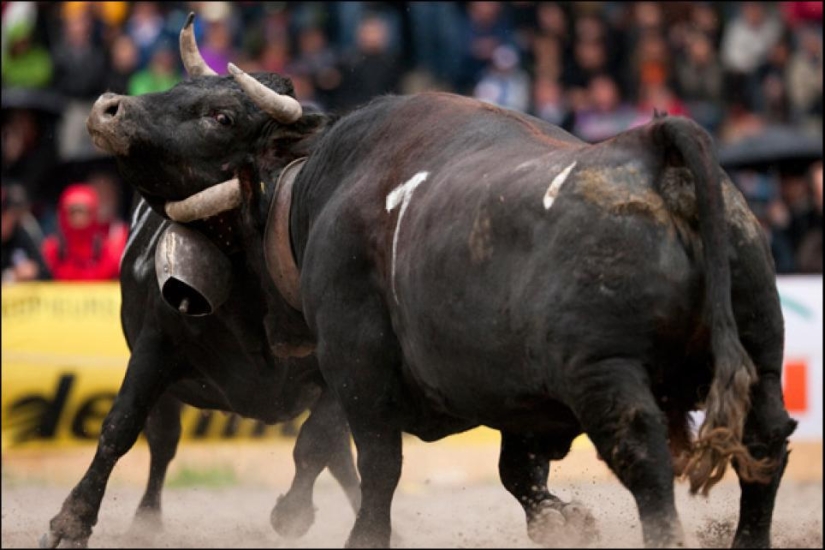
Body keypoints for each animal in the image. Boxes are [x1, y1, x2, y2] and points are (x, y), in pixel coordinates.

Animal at [39, 15, 359, 549]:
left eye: (222, 118)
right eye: (175, 87)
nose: (108, 108)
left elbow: (317, 442)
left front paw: (293, 512)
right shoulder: (155, 344)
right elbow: (119, 426)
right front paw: (70, 521)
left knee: (343, 458)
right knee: (163, 443)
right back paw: (146, 521)